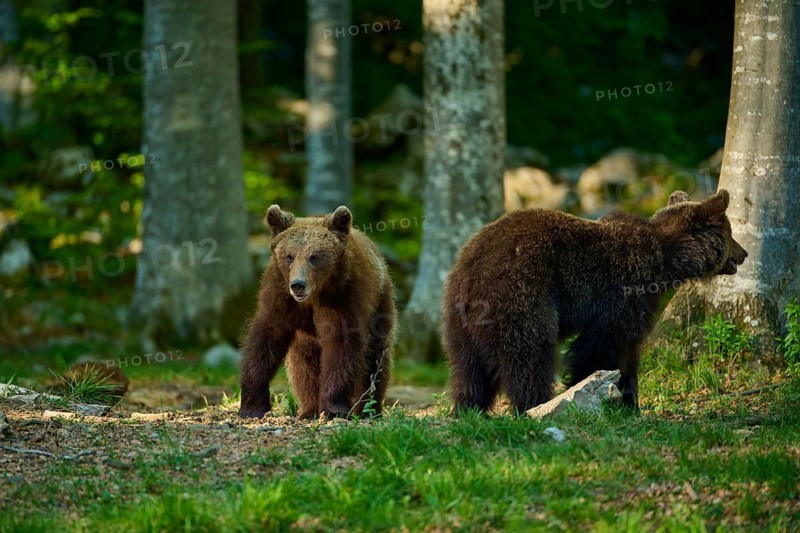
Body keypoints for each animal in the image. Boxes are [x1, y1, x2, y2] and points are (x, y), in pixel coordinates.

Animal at [238, 205, 396, 419]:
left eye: (314, 256)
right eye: (289, 256)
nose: (298, 285)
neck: (313, 297)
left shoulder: (342, 299)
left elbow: (341, 347)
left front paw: (334, 408)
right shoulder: (280, 299)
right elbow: (265, 341)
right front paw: (252, 406)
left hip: (380, 303)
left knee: (376, 358)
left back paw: (369, 409)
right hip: (304, 339)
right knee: (303, 364)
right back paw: (309, 409)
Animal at [442, 189, 748, 414]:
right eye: (731, 232)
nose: (744, 253)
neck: (665, 263)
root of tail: (472, 268)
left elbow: (628, 353)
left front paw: (630, 404)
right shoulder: (622, 294)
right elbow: (602, 349)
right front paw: (603, 395)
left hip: (459, 315)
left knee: (467, 367)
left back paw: (469, 409)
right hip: (521, 292)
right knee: (528, 356)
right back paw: (533, 405)